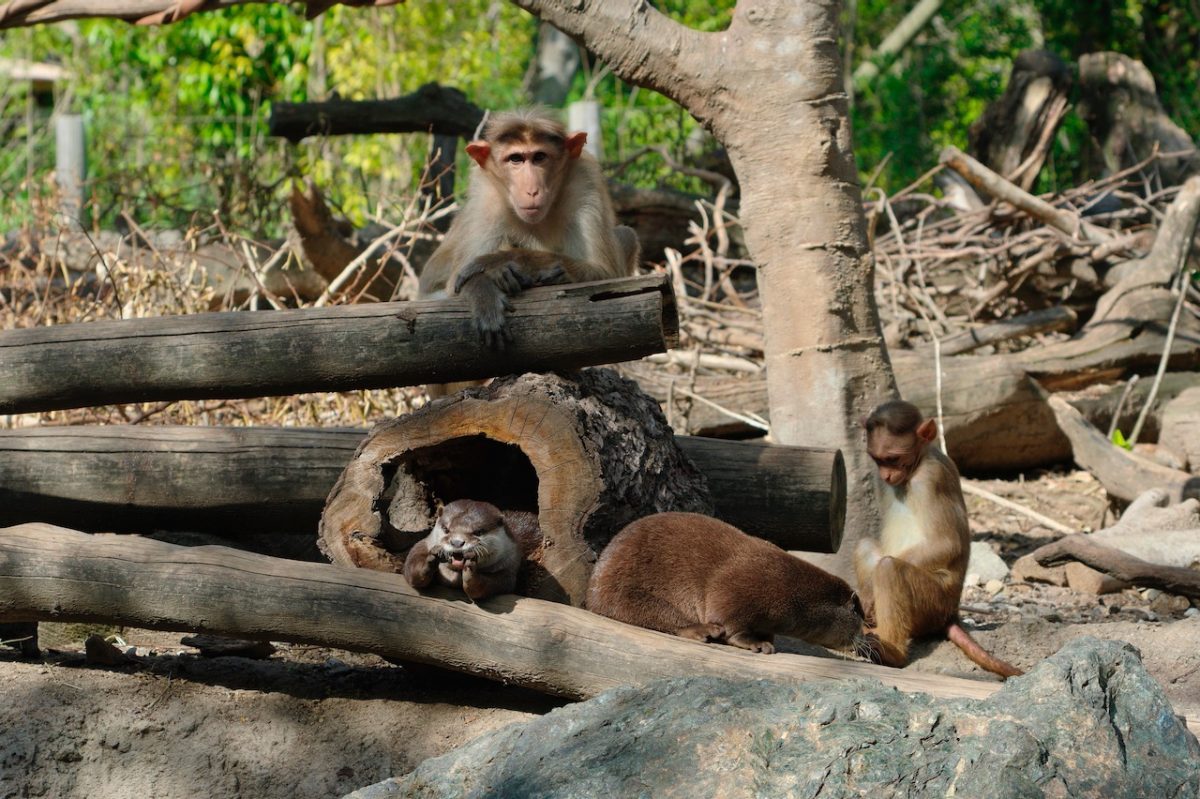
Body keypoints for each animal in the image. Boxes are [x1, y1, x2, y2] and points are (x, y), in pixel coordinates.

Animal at [403, 499, 535, 597]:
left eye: (478, 532)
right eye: (446, 529)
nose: (457, 542)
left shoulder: (509, 567)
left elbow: (494, 584)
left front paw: (471, 575)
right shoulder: (424, 544)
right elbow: (412, 569)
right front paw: (428, 563)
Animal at [583, 511, 859, 652]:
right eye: (860, 622)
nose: (863, 642)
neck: (795, 593)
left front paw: (765, 639)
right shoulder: (743, 586)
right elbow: (729, 619)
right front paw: (756, 644)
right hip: (626, 591)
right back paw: (702, 630)